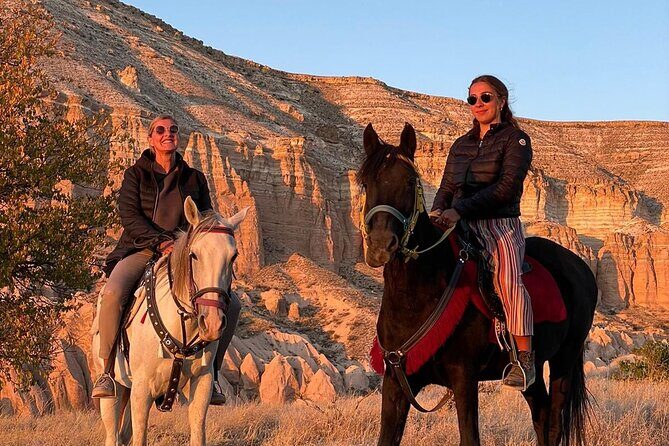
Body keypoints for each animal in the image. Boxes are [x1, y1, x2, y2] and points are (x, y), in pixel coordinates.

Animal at [358, 123, 597, 446]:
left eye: (410, 182)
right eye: (365, 183)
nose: (381, 245)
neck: (418, 298)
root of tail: (580, 266)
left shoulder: (464, 378)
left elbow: (470, 437)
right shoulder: (397, 382)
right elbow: (387, 437)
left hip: (565, 359)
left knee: (555, 423)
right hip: (534, 371)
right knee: (541, 415)